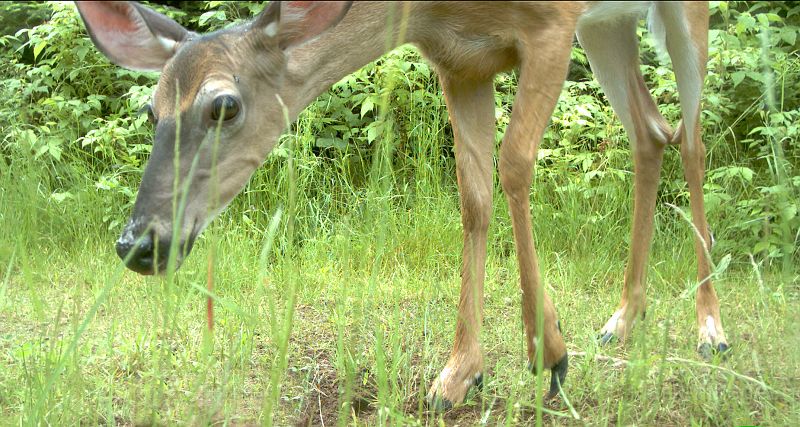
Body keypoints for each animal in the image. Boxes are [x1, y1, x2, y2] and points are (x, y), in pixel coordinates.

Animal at [76, 0, 732, 412]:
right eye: (152, 110)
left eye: (224, 106)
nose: (137, 243)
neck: (435, 10)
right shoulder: (461, 61)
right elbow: (474, 196)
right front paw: (459, 374)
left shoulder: (550, 24)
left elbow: (516, 166)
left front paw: (548, 354)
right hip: (608, 24)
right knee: (650, 132)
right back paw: (622, 319)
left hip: (675, 15)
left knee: (693, 139)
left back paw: (710, 328)